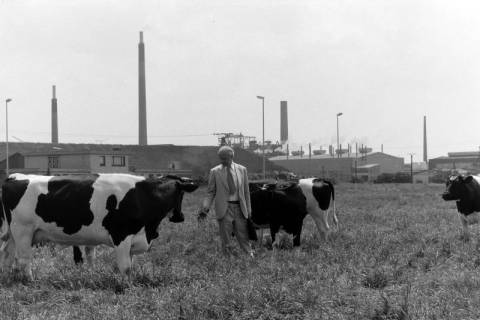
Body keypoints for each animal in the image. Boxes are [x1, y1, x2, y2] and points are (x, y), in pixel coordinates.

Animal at [0, 171, 197, 278]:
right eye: (181, 194)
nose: (180, 217)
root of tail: (15, 177)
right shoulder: (121, 235)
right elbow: (125, 267)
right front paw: (126, 287)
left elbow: (129, 265)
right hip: (23, 231)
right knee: (23, 259)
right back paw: (29, 280)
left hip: (14, 234)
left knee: (7, 254)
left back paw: (7, 277)